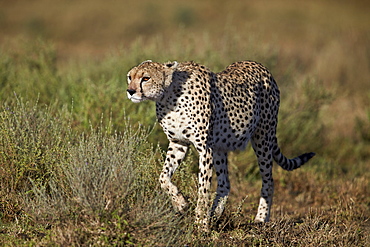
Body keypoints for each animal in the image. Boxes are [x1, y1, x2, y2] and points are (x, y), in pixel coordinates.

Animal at [126, 59, 316, 230]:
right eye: (130, 77)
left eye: (146, 78)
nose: (130, 91)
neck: (168, 95)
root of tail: (260, 66)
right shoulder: (178, 143)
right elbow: (163, 178)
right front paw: (181, 204)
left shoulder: (205, 149)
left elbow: (203, 190)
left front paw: (200, 224)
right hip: (220, 147)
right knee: (225, 183)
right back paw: (215, 214)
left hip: (263, 137)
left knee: (268, 181)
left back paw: (261, 219)